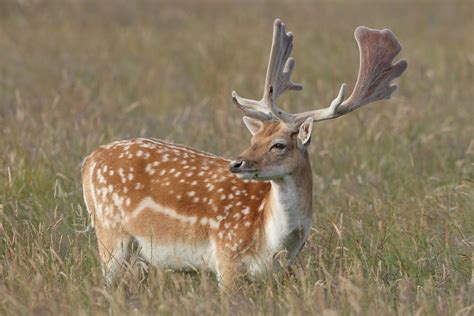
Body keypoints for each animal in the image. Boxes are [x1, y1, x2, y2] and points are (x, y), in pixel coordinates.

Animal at [81, 19, 408, 292]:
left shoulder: (272, 273)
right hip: (111, 233)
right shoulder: (226, 255)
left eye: (278, 144)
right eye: (254, 138)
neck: (273, 239)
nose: (237, 163)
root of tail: (89, 160)